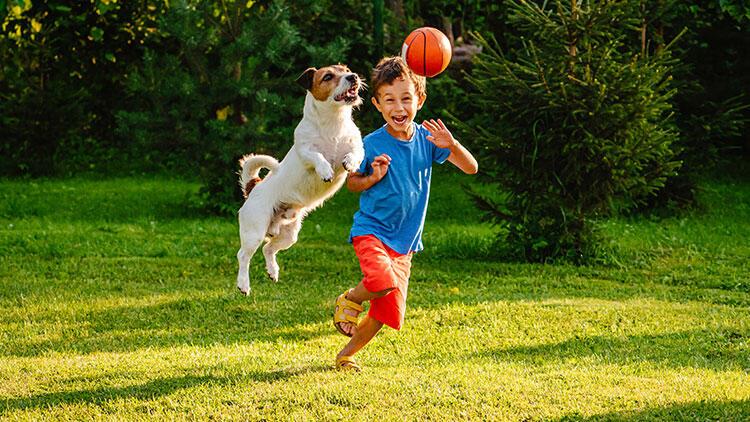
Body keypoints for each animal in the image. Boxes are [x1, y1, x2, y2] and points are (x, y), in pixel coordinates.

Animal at [235, 64, 364, 296]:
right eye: (328, 76)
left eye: (346, 69)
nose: (353, 77)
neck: (333, 122)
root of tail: (253, 187)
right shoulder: (305, 151)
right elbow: (317, 156)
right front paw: (325, 170)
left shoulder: (357, 146)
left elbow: (355, 153)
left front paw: (350, 162)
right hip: (254, 230)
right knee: (243, 256)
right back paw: (243, 284)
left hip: (289, 235)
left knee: (268, 248)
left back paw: (273, 271)